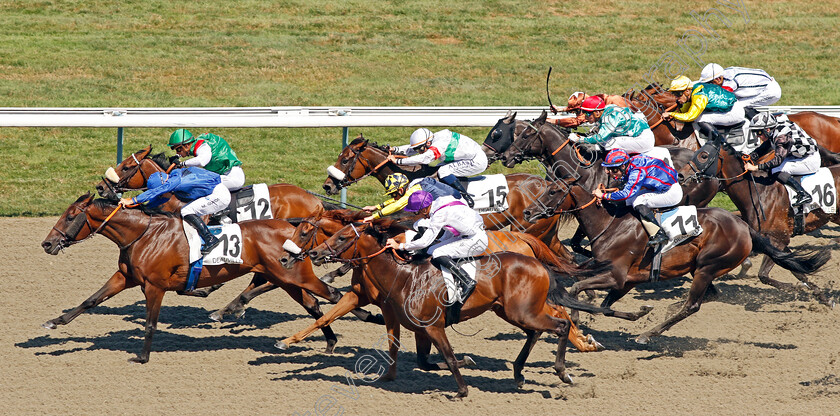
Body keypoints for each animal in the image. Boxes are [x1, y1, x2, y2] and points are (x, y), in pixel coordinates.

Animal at [39, 193, 374, 362]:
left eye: (71, 216)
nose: (47, 243)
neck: (143, 234)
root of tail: (291, 227)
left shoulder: (154, 286)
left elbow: (150, 323)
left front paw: (143, 357)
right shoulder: (126, 277)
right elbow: (91, 300)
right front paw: (54, 321)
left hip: (294, 276)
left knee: (332, 296)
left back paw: (366, 317)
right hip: (284, 277)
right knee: (315, 305)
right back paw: (329, 341)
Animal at [302, 219, 624, 398]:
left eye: (343, 237)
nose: (314, 254)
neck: (403, 276)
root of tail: (538, 263)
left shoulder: (434, 326)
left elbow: (447, 356)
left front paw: (462, 389)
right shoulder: (416, 327)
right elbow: (419, 359)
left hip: (522, 311)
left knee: (560, 325)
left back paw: (563, 372)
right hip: (511, 311)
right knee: (536, 332)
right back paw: (519, 372)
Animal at [520, 180, 832, 342]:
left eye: (553, 191)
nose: (527, 212)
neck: (610, 224)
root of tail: (744, 226)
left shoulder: (615, 275)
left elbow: (576, 289)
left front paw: (578, 323)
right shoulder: (627, 281)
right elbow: (606, 307)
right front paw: (636, 312)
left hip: (708, 266)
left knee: (693, 305)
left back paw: (648, 334)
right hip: (701, 269)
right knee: (707, 297)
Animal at [684, 137, 840, 306]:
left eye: (703, 156)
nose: (681, 175)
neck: (758, 191)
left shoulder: (778, 238)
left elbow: (764, 275)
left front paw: (796, 288)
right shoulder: (776, 239)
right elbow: (796, 269)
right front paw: (823, 297)